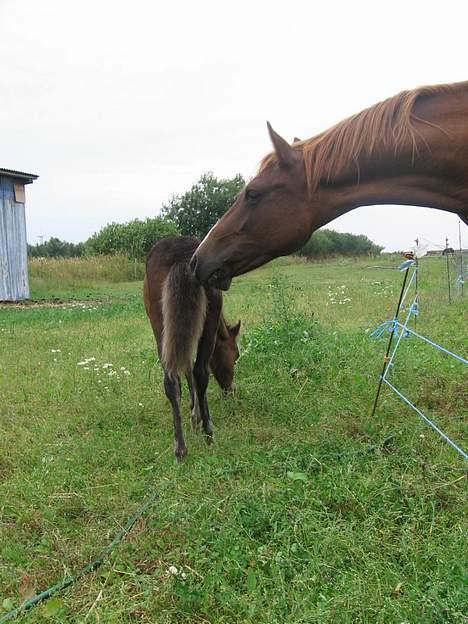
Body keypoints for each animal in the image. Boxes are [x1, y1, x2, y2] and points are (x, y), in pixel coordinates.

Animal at [144, 235, 241, 458]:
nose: (231, 390)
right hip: (208, 320)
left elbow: (186, 368)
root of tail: (180, 257)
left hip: (159, 326)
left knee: (171, 380)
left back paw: (180, 448)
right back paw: (208, 434)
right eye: (235, 356)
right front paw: (198, 417)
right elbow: (197, 372)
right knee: (201, 373)